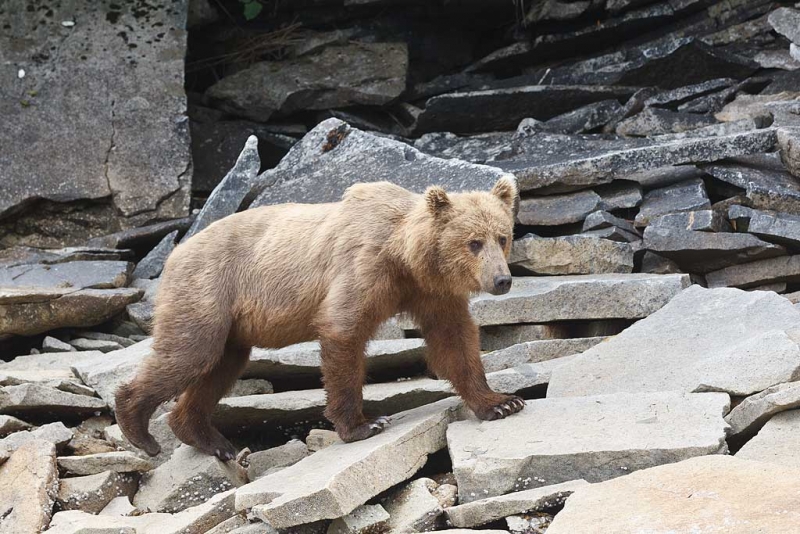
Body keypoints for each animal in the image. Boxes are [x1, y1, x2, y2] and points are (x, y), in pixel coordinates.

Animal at [114, 178, 524, 462]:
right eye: (473, 242)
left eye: (503, 236)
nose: (501, 280)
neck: (406, 257)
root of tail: (176, 252)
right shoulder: (364, 268)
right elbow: (344, 333)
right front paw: (363, 424)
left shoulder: (431, 293)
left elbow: (455, 341)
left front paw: (501, 402)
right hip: (208, 290)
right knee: (190, 352)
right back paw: (138, 427)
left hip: (232, 324)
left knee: (221, 366)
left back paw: (213, 441)